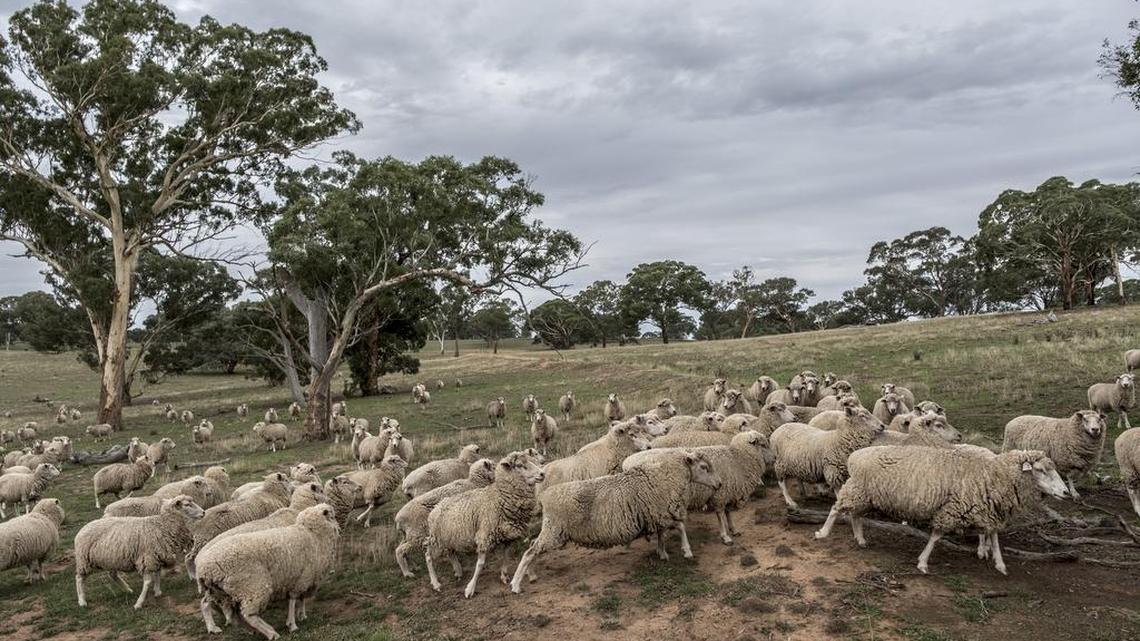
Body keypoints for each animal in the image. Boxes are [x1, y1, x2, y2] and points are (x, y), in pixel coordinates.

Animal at [75, 495, 205, 609]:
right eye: (187, 505)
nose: (203, 512)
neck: (162, 525)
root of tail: (83, 528)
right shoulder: (147, 557)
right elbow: (147, 581)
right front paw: (139, 603)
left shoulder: (156, 555)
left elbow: (157, 574)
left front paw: (157, 591)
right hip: (85, 560)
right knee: (79, 578)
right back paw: (82, 601)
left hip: (111, 559)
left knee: (113, 575)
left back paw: (128, 590)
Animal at [196, 504, 340, 639]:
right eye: (332, 516)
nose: (339, 528)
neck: (313, 534)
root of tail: (203, 567)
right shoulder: (302, 577)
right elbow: (294, 600)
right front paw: (292, 624)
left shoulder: (301, 577)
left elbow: (300, 598)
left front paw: (301, 615)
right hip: (252, 587)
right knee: (248, 615)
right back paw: (270, 633)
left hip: (221, 593)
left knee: (229, 614)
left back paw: (246, 630)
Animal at [424, 451, 545, 597]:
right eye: (520, 465)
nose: (542, 474)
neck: (500, 497)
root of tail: (436, 507)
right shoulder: (484, 535)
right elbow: (480, 564)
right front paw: (470, 588)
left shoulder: (509, 535)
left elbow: (506, 556)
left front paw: (504, 575)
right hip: (436, 539)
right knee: (428, 556)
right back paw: (435, 583)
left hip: (449, 538)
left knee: (450, 552)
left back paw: (458, 571)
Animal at [510, 452, 721, 594]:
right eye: (704, 467)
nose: (719, 484)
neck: (667, 474)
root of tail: (544, 497)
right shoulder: (661, 511)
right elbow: (681, 527)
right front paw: (687, 551)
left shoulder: (657, 513)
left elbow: (662, 534)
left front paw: (662, 553)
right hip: (554, 530)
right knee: (529, 552)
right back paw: (516, 584)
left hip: (552, 530)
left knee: (532, 548)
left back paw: (531, 574)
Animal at [814, 448, 1068, 575]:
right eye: (1041, 470)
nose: (1066, 493)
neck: (993, 474)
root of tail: (854, 455)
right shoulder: (952, 508)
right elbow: (936, 536)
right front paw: (923, 563)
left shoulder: (988, 509)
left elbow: (994, 536)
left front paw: (1000, 564)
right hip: (857, 489)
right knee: (836, 508)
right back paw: (823, 533)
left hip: (867, 494)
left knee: (855, 514)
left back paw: (860, 539)